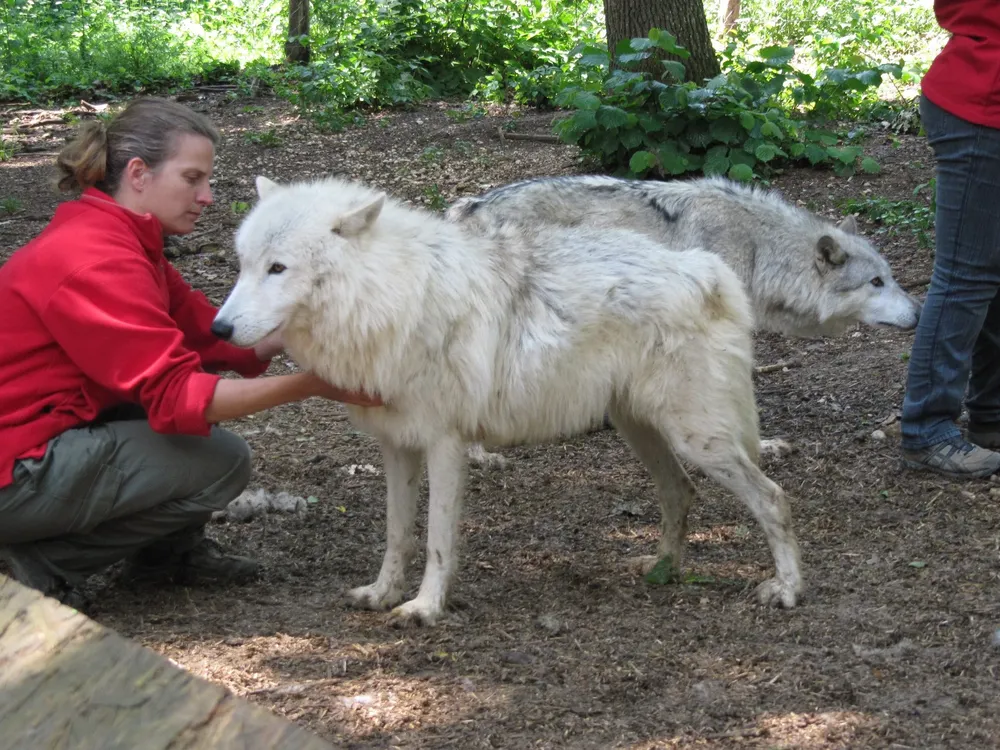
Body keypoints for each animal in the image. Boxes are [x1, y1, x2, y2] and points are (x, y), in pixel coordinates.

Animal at [212, 174, 804, 627]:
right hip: (642, 429)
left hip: (697, 437)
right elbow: (397, 534)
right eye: (243, 264)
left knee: (773, 497)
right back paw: (663, 570)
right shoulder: (396, 447)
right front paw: (382, 594)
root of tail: (706, 268)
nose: (218, 329)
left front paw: (424, 608)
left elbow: (436, 539)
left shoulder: (444, 444)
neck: (391, 295)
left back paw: (788, 589)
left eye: (278, 268)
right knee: (680, 492)